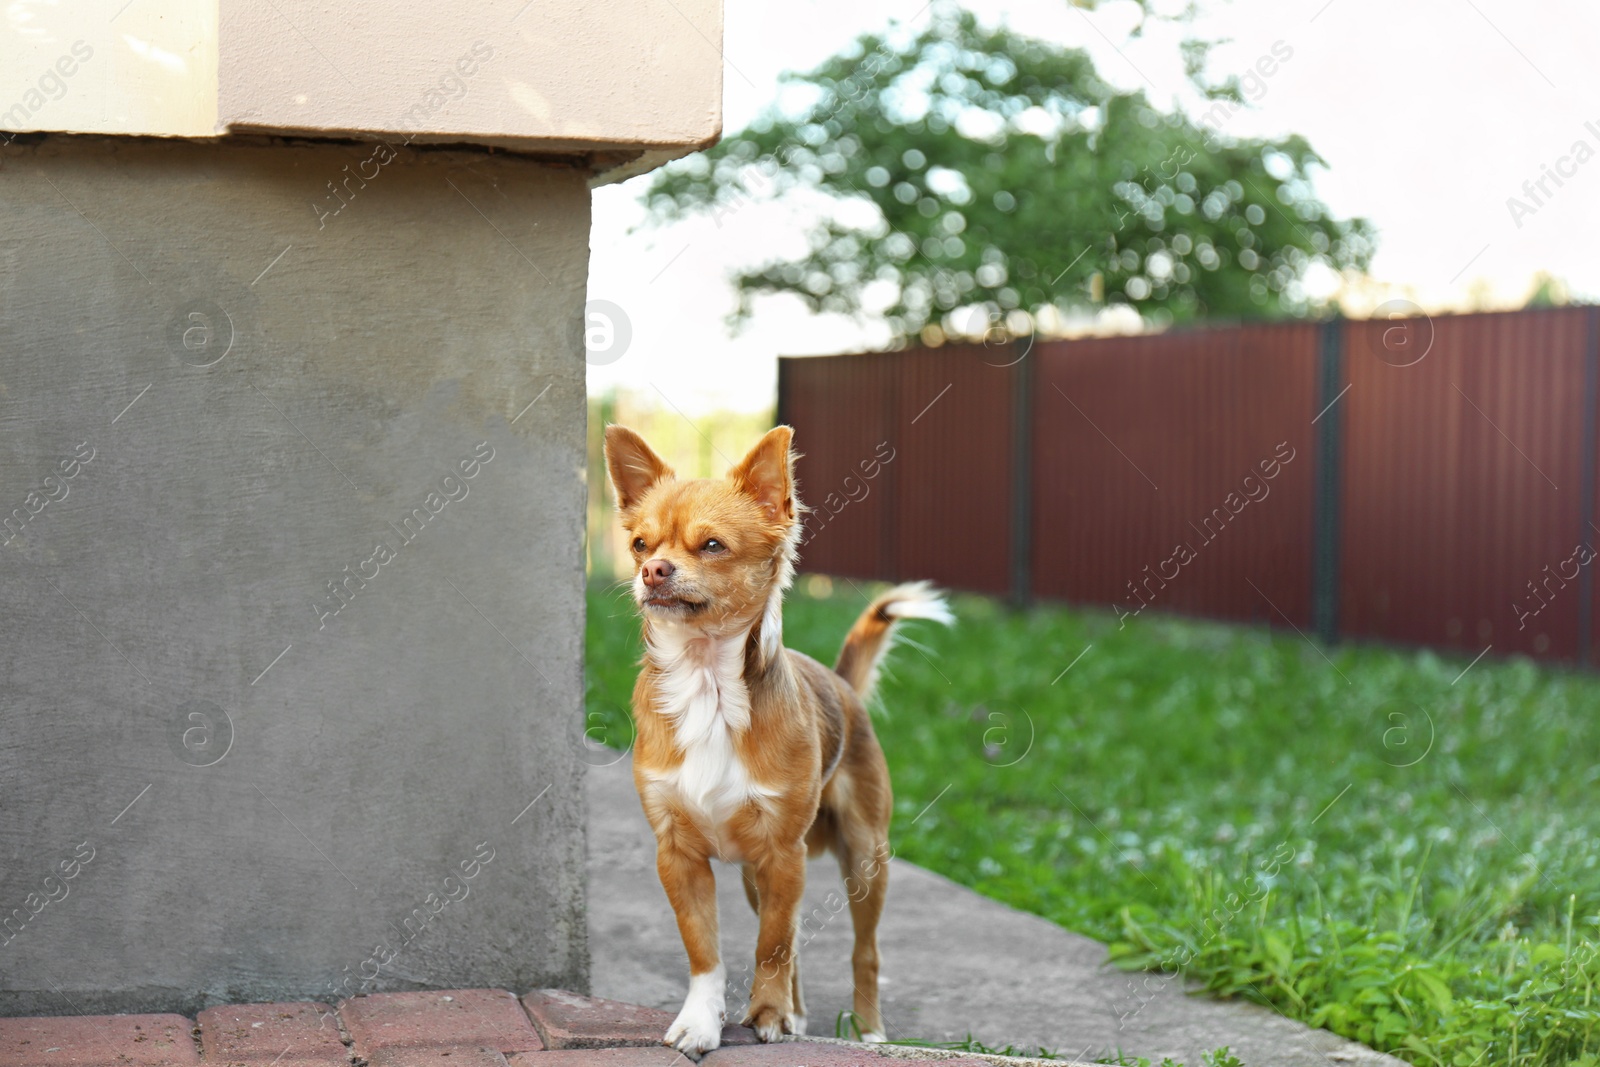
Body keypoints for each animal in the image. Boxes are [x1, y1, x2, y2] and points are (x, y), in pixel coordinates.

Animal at [601, 425, 947, 1062]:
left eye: (711, 546)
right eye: (639, 544)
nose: (653, 570)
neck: (707, 684)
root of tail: (840, 682)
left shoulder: (783, 852)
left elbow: (772, 946)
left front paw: (766, 1015)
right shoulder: (680, 856)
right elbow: (707, 949)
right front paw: (702, 1022)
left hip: (865, 856)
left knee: (862, 951)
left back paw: (867, 1028)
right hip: (754, 876)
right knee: (792, 935)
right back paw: (798, 1010)